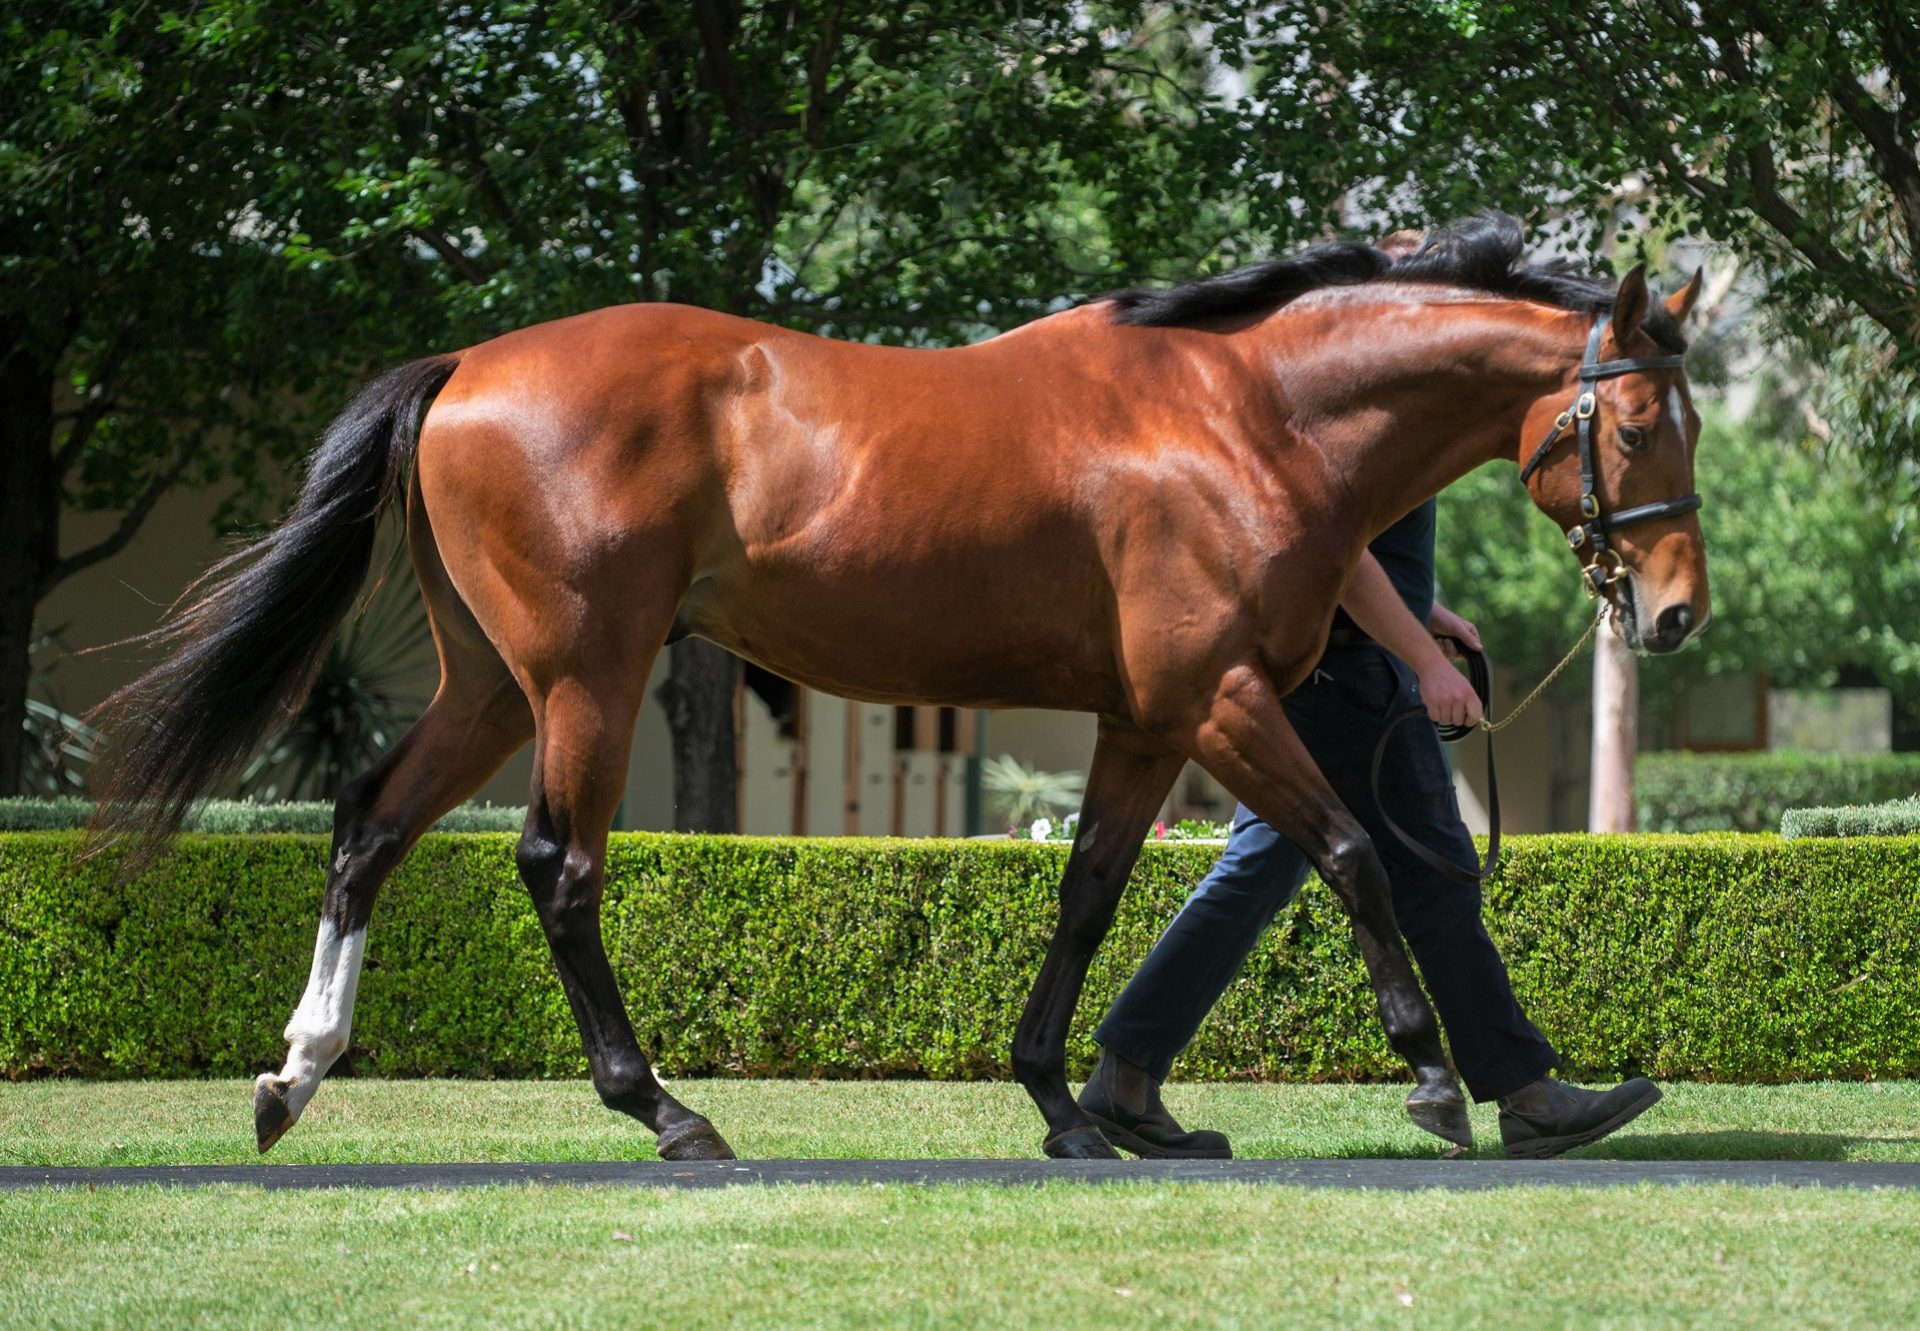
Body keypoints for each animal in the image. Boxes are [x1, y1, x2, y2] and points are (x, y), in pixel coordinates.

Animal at [90, 213, 1712, 1160]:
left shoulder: (1145, 721)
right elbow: (1359, 850)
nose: (1678, 610)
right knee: (558, 864)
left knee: (370, 821)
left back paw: (294, 1074)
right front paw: (1435, 1080)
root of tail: (467, 364)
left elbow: (1090, 895)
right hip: (584, 678)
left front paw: (1071, 1106)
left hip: (492, 681)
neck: (1242, 412)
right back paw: (664, 1108)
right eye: (1637, 421)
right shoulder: (1221, 698)